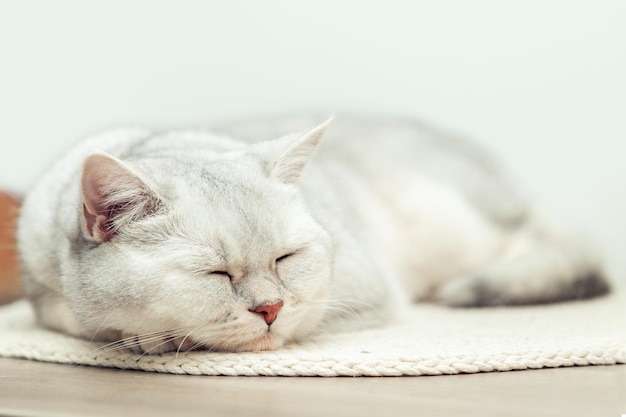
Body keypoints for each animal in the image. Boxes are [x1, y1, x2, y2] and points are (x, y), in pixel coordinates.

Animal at [15, 115, 608, 352]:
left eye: (286, 258)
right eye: (214, 273)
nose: (270, 308)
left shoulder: (363, 295)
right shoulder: (41, 285)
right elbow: (69, 316)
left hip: (459, 226)